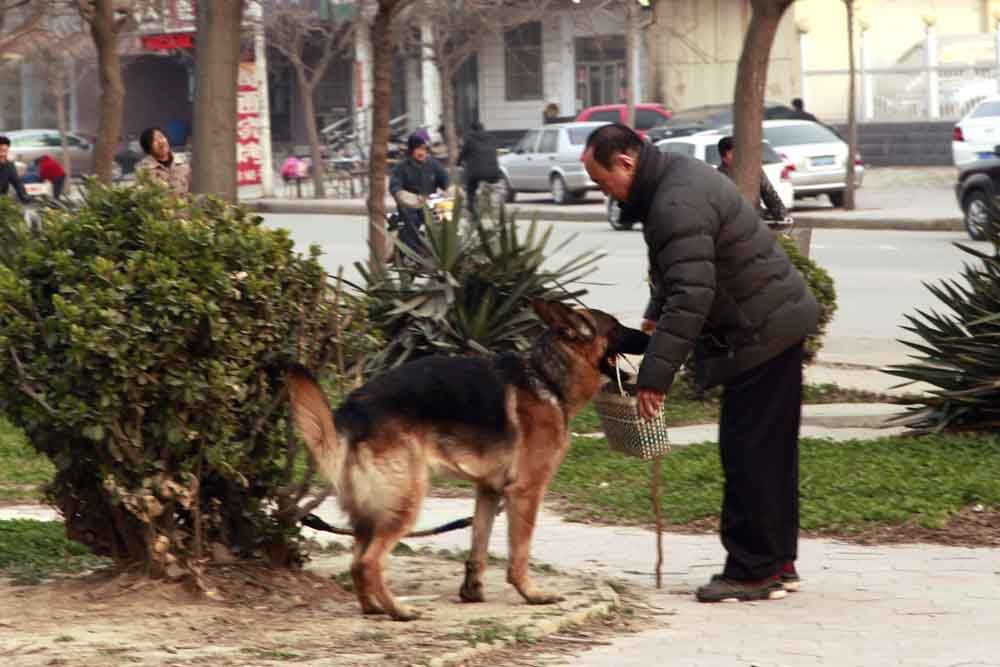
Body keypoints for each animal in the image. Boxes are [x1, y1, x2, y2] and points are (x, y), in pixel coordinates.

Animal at [288, 298, 648, 620]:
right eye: (617, 327)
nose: (648, 334)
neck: (546, 376)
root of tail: (353, 410)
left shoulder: (489, 490)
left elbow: (479, 546)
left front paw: (472, 591)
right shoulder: (526, 492)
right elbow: (520, 553)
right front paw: (531, 593)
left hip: (371, 511)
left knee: (356, 562)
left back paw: (373, 607)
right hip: (406, 500)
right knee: (368, 562)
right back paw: (399, 611)